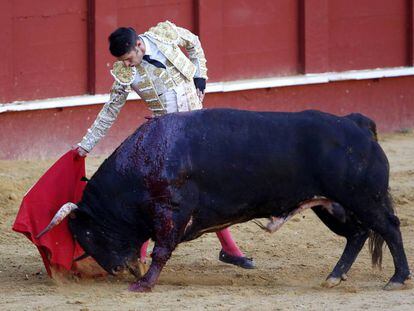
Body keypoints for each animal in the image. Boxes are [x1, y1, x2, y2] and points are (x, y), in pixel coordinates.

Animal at [66, 109, 410, 292]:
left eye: (88, 234)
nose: (120, 270)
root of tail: (354, 123)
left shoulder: (171, 212)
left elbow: (161, 250)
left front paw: (144, 284)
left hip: (364, 198)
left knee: (390, 228)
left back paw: (397, 278)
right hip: (331, 206)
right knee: (357, 233)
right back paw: (334, 277)